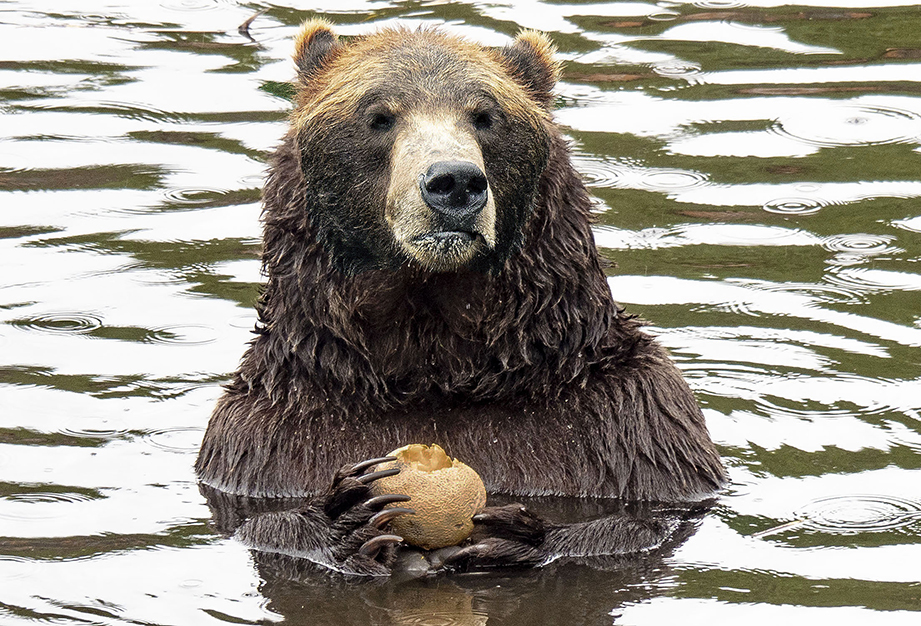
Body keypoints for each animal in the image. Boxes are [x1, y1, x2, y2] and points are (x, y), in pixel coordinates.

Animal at [195, 20, 726, 575]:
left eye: (485, 115)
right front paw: (347, 515)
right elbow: (266, 523)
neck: (436, 360)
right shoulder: (272, 438)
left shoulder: (629, 425)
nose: (454, 181)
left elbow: (643, 521)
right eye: (378, 116)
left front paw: (514, 533)